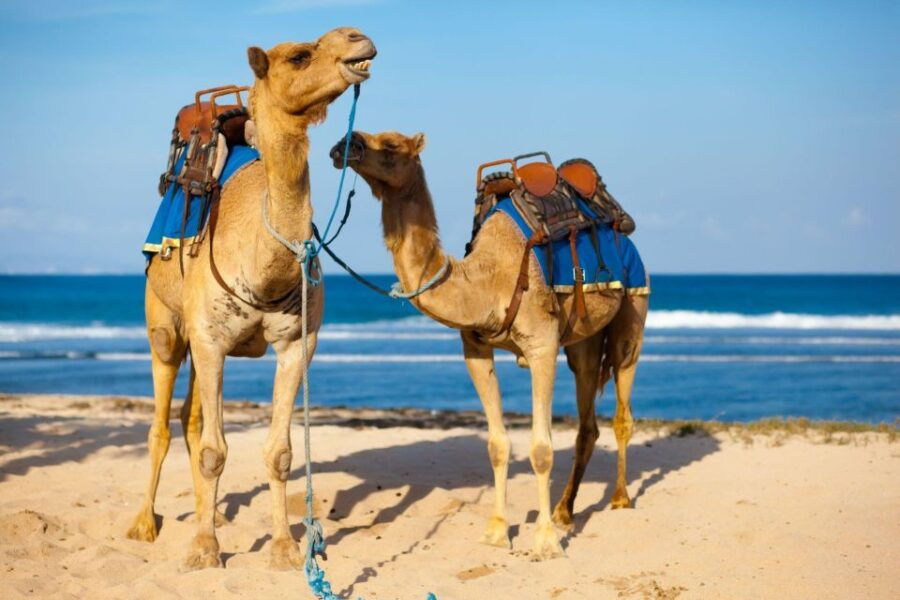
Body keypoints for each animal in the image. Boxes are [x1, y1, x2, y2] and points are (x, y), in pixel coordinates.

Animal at [125, 28, 377, 571]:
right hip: (166, 326)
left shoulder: (297, 344)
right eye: (299, 55)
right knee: (161, 424)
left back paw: (215, 514)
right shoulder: (209, 340)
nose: (359, 38)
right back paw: (144, 524)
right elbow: (214, 451)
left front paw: (284, 549)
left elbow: (279, 452)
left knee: (192, 420)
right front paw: (203, 551)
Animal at [330, 131, 648, 559]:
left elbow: (541, 449)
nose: (345, 144)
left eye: (392, 145)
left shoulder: (542, 345)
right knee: (587, 420)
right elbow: (497, 445)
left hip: (634, 305)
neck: (487, 279)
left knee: (623, 406)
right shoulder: (475, 349)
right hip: (583, 340)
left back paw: (618, 498)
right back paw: (565, 511)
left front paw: (545, 541)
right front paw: (497, 531)